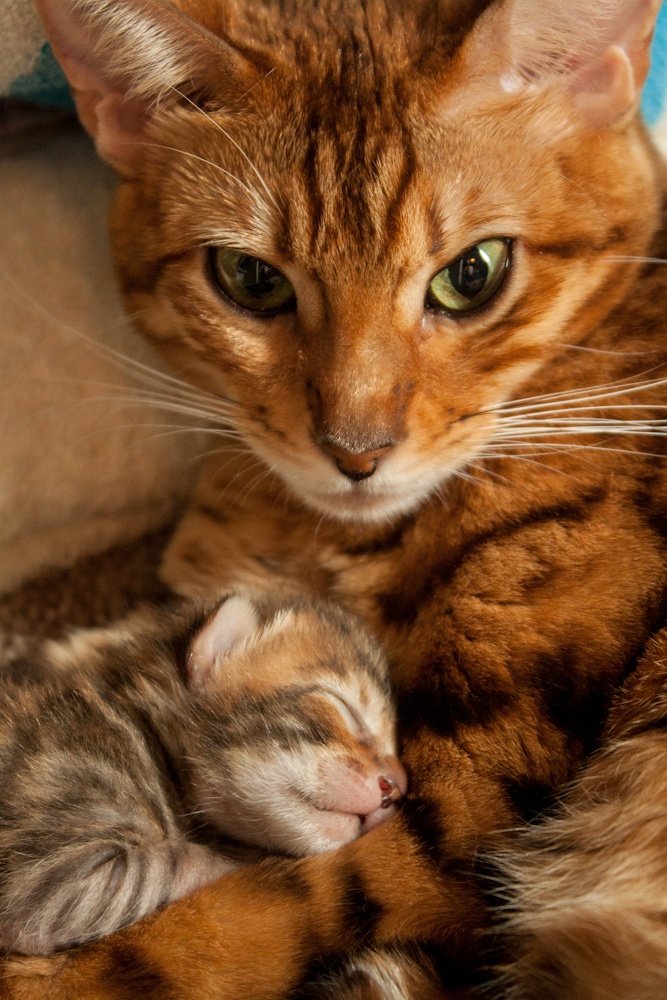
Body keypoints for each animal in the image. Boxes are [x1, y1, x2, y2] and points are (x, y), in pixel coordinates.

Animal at [0, 596, 404, 956]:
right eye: (341, 705)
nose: (396, 787)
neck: (149, 739)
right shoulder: (48, 881)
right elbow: (179, 861)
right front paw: (244, 859)